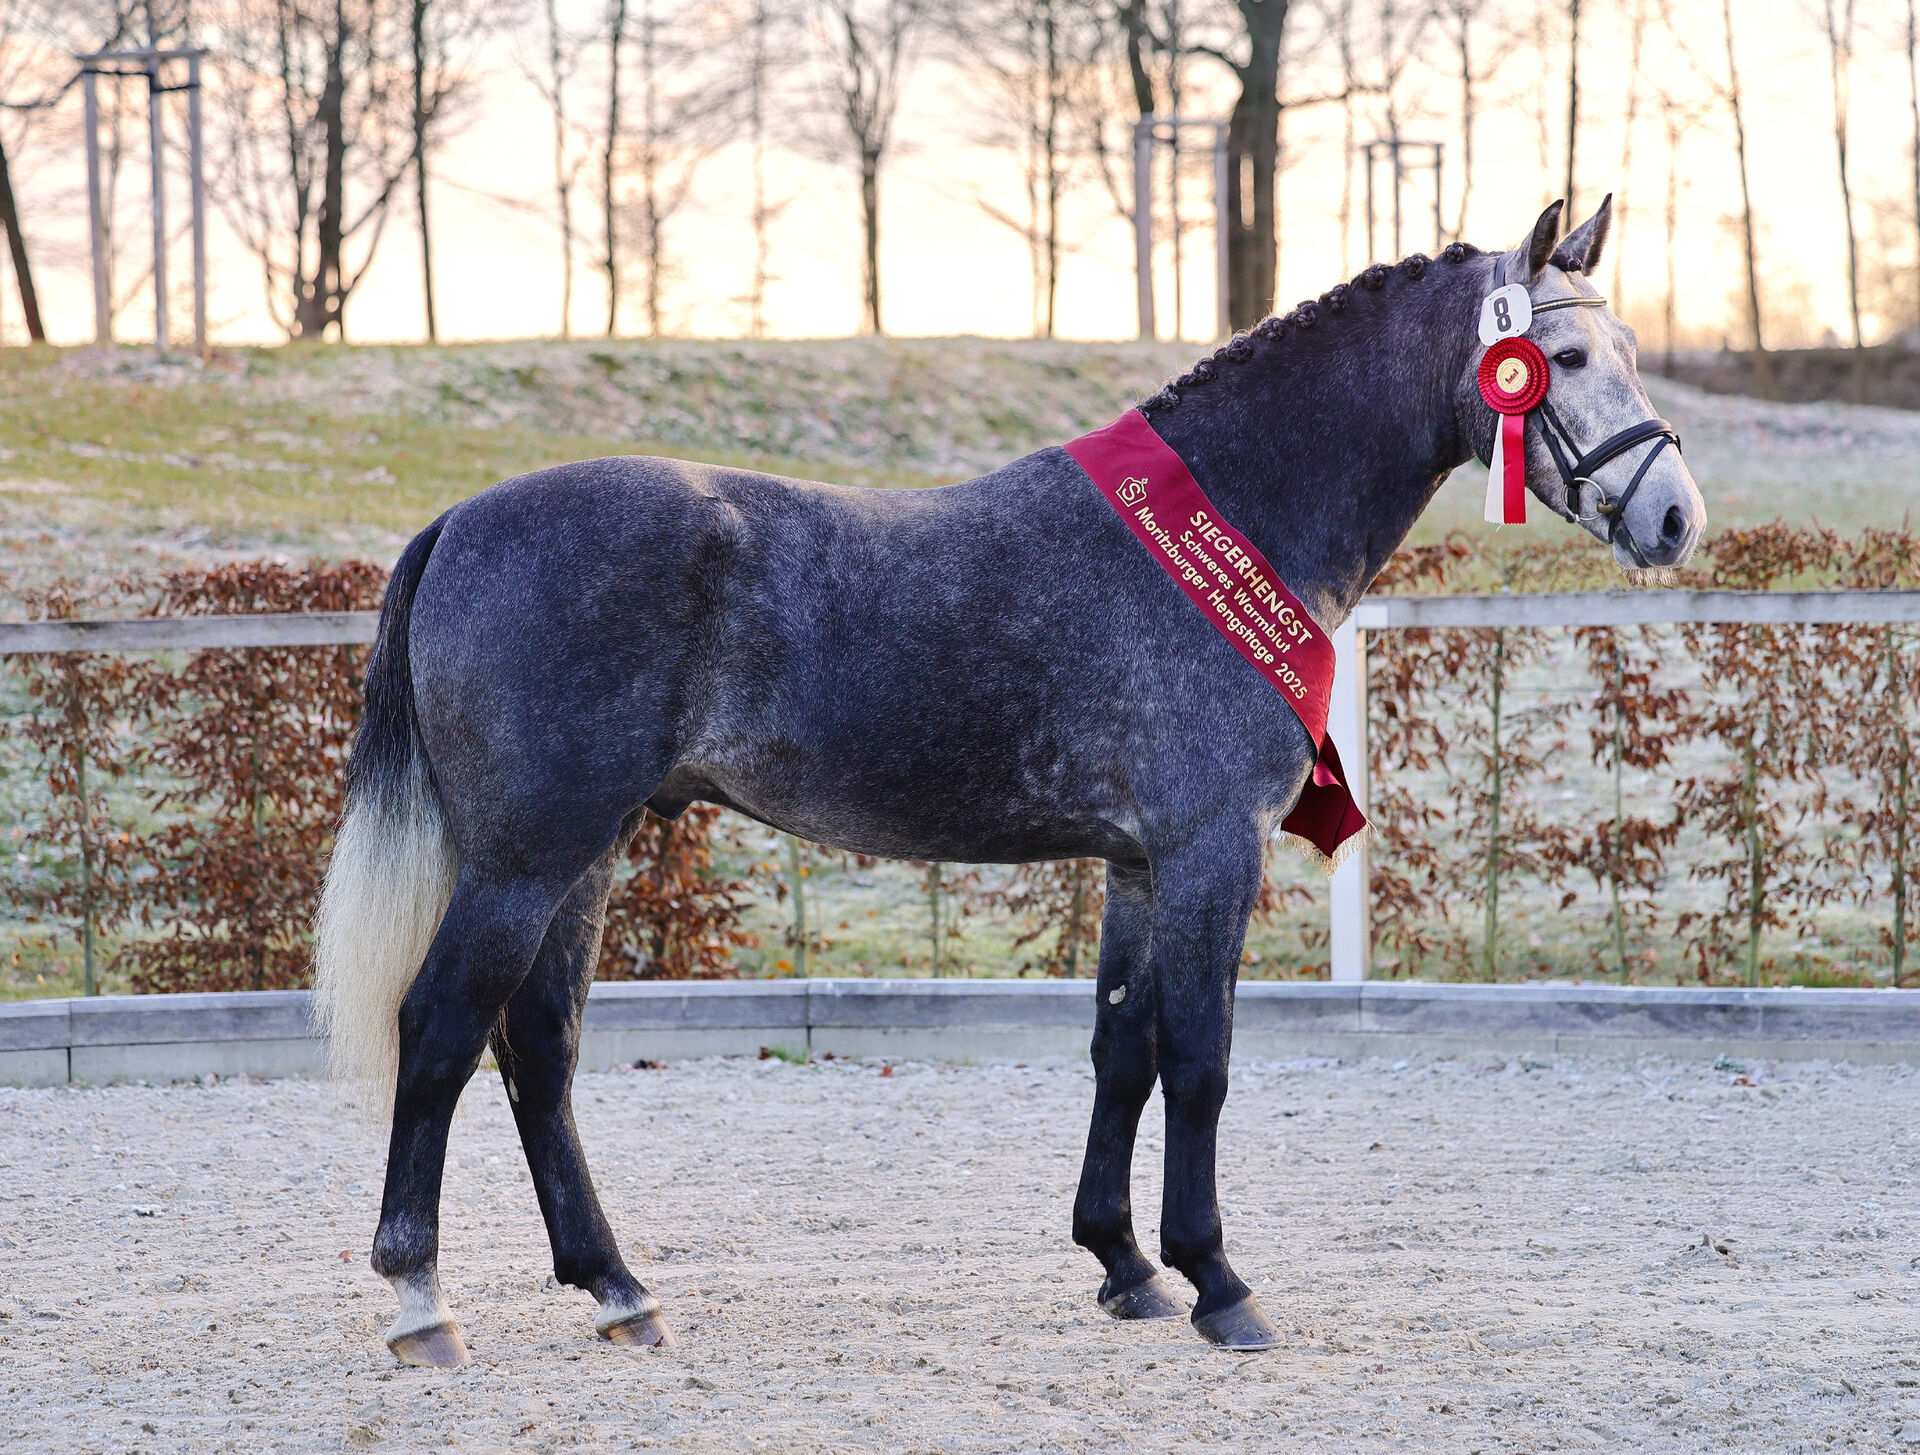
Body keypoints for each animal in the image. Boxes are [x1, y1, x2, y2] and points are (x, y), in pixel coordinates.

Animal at [314, 198, 1705, 1367]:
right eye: (1562, 356)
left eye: (1628, 345)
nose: (1675, 517)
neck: (1239, 515)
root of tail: (458, 524)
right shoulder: (1212, 849)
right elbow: (1200, 1058)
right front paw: (1219, 1282)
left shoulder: (1139, 863)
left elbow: (1123, 1052)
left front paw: (1125, 1266)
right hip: (526, 857)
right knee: (439, 1032)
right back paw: (420, 1303)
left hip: (585, 854)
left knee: (539, 1051)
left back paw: (618, 1290)